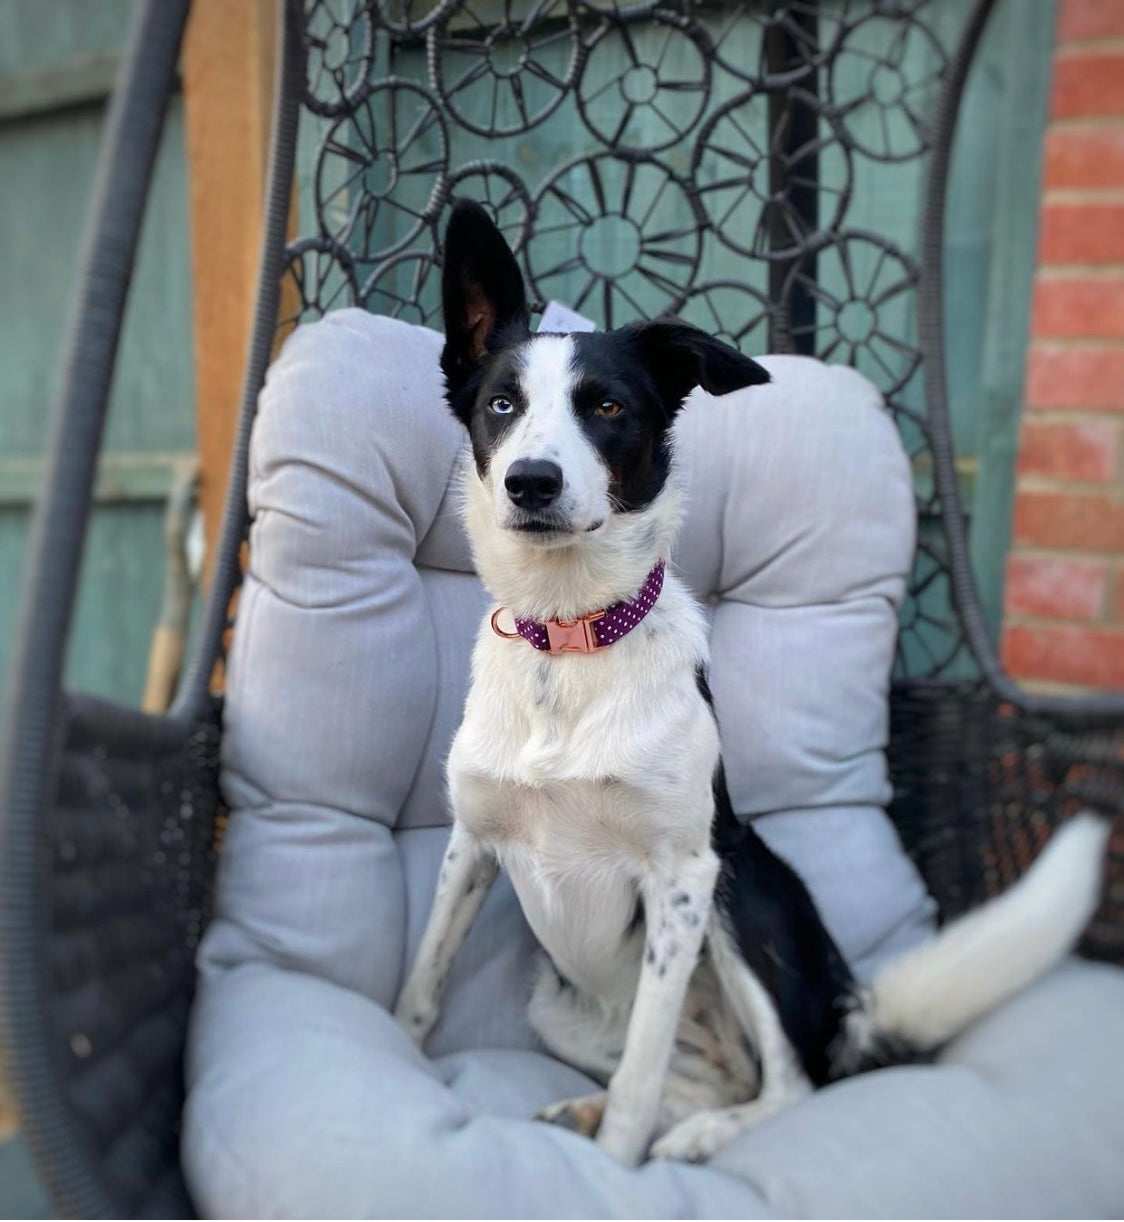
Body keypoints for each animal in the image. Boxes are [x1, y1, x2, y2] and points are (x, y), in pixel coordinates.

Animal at [393, 200, 1104, 1163]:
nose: (531, 481)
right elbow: (424, 983)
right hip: (557, 1007)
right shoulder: (469, 847)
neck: (570, 640)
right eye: (502, 403)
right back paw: (606, 1112)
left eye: (607, 406)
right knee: (701, 1075)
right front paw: (396, 1050)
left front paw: (614, 1168)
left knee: (787, 1083)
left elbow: (643, 1071)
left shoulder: (684, 880)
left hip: (744, 894)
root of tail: (839, 1015)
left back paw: (697, 1136)